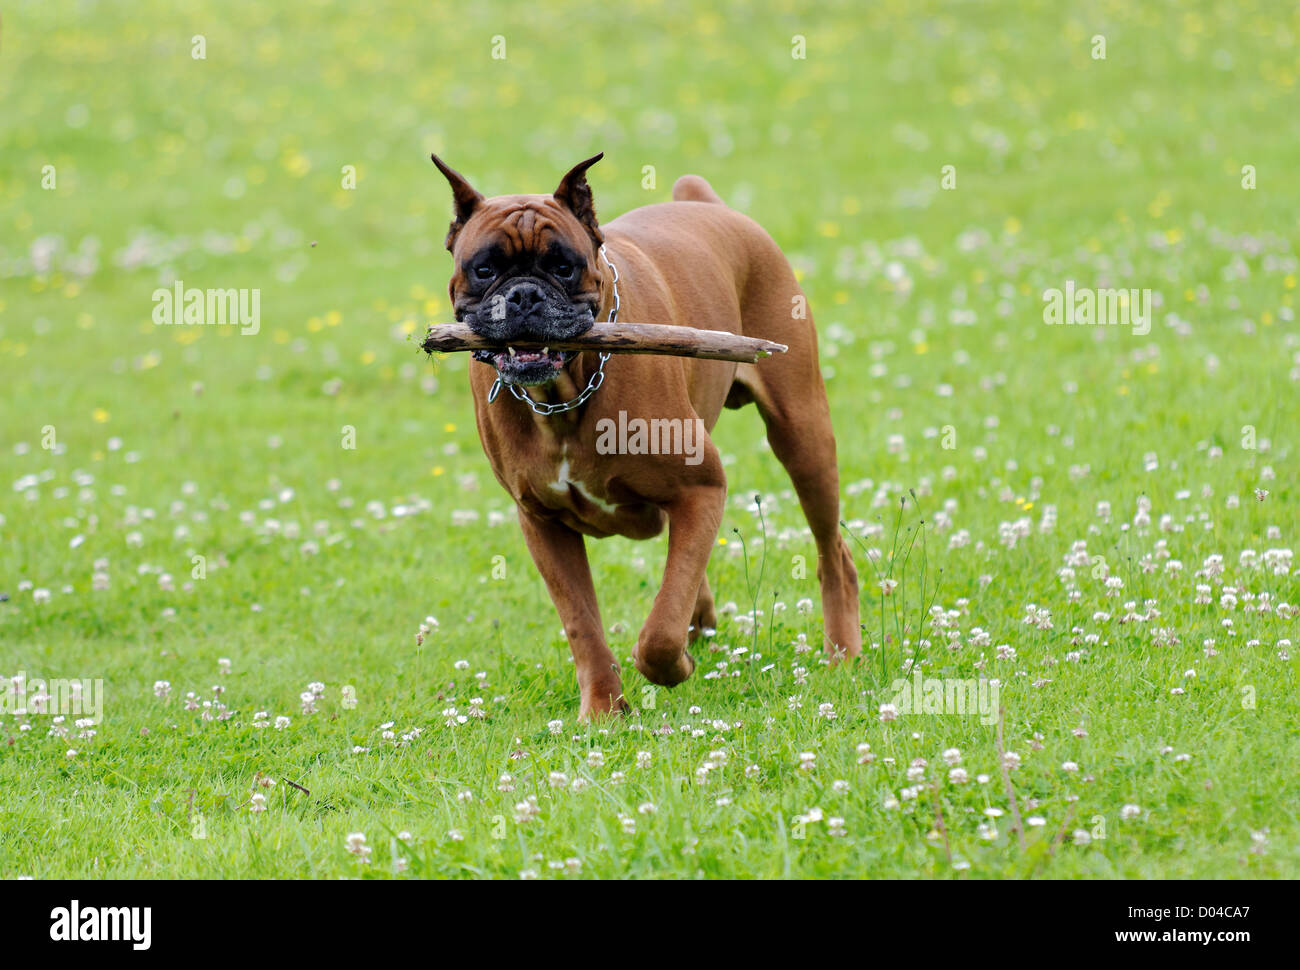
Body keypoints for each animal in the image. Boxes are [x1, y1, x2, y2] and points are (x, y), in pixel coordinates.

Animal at [436, 147, 857, 712]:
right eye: (484, 269)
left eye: (564, 267)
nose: (524, 295)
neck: (564, 396)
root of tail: (710, 207)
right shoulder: (543, 524)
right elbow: (583, 625)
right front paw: (604, 710)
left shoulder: (702, 488)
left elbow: (659, 631)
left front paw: (674, 666)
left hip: (803, 436)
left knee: (832, 552)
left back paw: (843, 653)